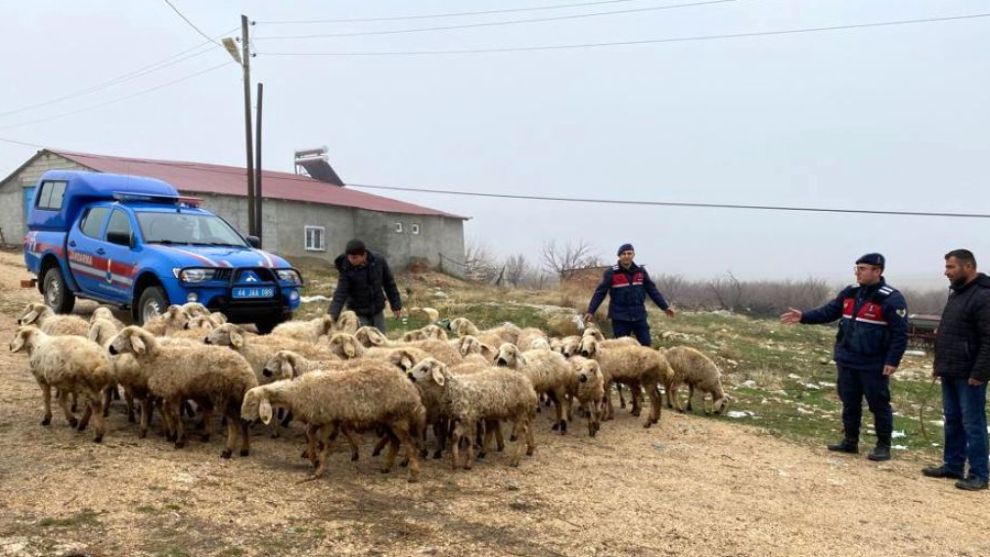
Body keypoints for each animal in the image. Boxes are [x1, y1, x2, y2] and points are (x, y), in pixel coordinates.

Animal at [243, 362, 426, 480]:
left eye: (252, 403)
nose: (244, 420)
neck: (296, 392)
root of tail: (410, 386)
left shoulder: (329, 420)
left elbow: (326, 444)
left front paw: (318, 470)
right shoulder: (319, 417)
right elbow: (309, 435)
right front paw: (313, 458)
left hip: (398, 417)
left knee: (409, 444)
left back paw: (413, 474)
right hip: (388, 419)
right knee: (395, 442)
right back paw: (386, 467)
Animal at [406, 356, 540, 470]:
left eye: (425, 368)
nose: (409, 375)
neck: (454, 389)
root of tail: (529, 386)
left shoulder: (467, 417)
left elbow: (463, 438)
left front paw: (463, 462)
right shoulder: (465, 418)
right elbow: (460, 437)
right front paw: (460, 463)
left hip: (520, 410)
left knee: (523, 431)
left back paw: (515, 460)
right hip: (513, 411)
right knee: (524, 427)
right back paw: (529, 449)